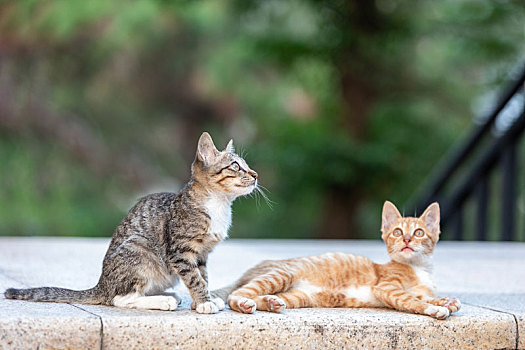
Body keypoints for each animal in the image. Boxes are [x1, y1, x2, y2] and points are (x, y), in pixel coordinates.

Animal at [4, 132, 258, 314]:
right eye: (236, 166)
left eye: (246, 165)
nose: (255, 175)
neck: (218, 204)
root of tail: (102, 284)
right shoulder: (180, 251)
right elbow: (194, 278)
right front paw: (205, 302)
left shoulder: (202, 254)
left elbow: (202, 275)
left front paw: (203, 300)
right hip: (141, 247)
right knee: (119, 299)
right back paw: (163, 302)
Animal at [213, 202, 458, 320]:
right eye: (397, 232)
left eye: (418, 233)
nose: (407, 239)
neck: (418, 267)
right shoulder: (387, 287)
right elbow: (412, 300)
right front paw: (435, 309)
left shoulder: (415, 290)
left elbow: (422, 296)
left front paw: (446, 301)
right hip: (283, 274)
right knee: (237, 294)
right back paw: (244, 303)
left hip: (299, 296)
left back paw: (271, 302)